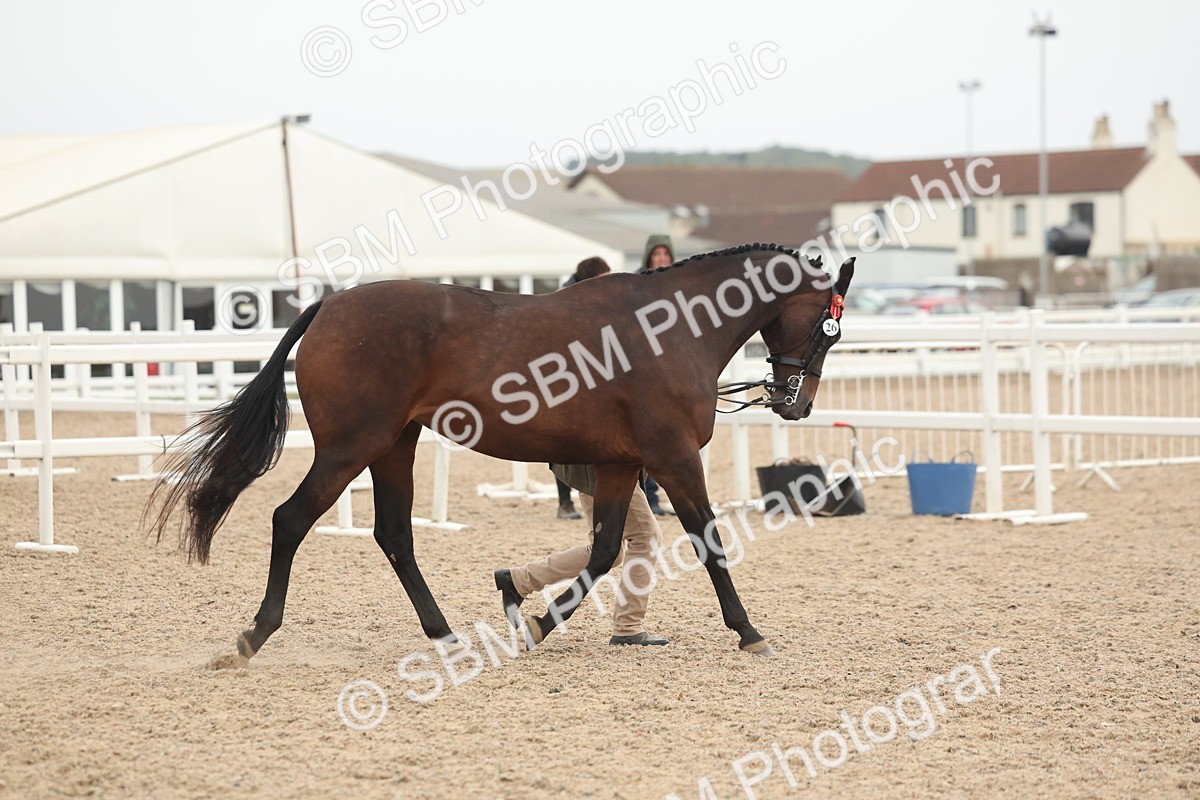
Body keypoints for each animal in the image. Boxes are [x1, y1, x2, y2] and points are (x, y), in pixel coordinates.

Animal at [148, 244, 855, 663]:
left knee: (394, 534)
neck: (671, 328)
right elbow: (708, 541)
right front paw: (749, 632)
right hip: (351, 447)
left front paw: (536, 621)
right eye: (828, 327)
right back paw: (253, 635)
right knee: (291, 520)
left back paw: (445, 634)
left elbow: (604, 550)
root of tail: (330, 305)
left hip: (394, 445)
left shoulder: (622, 464)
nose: (795, 405)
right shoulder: (674, 458)